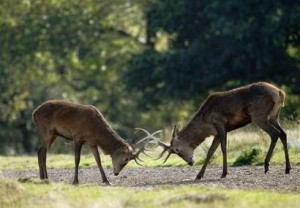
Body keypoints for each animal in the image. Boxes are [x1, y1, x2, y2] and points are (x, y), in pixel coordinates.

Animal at [152, 82, 290, 180]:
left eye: (177, 150)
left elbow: (223, 149)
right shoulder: (216, 133)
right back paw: (287, 169)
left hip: (259, 115)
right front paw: (199, 175)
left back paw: (266, 165)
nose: (190, 162)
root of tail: (280, 93)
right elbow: (210, 152)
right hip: (274, 116)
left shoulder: (220, 124)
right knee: (284, 133)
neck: (205, 125)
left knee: (275, 134)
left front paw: (224, 173)